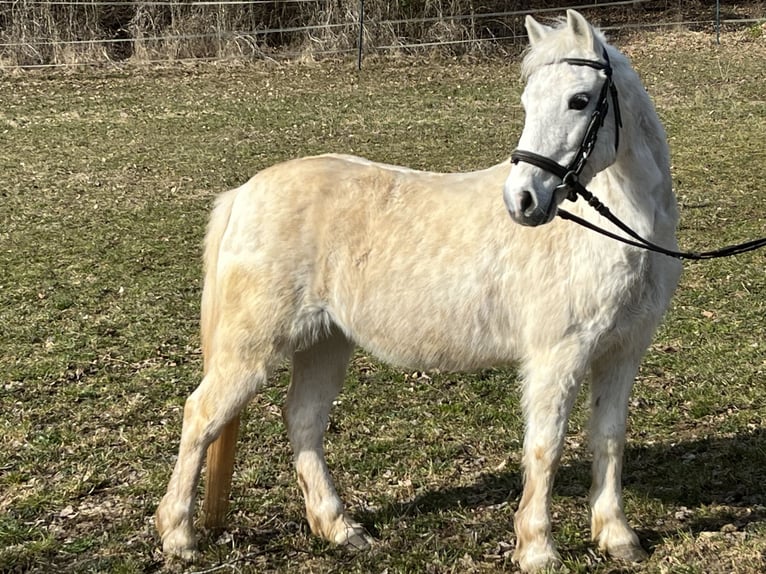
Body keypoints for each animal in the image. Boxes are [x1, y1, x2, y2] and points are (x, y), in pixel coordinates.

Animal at [156, 10, 681, 572]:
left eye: (579, 100)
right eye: (527, 102)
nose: (521, 201)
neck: (614, 228)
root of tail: (243, 192)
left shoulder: (622, 351)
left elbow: (609, 438)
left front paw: (618, 537)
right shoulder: (558, 355)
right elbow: (546, 445)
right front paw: (538, 549)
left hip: (325, 343)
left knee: (303, 422)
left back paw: (339, 529)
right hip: (251, 349)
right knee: (201, 416)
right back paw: (179, 536)